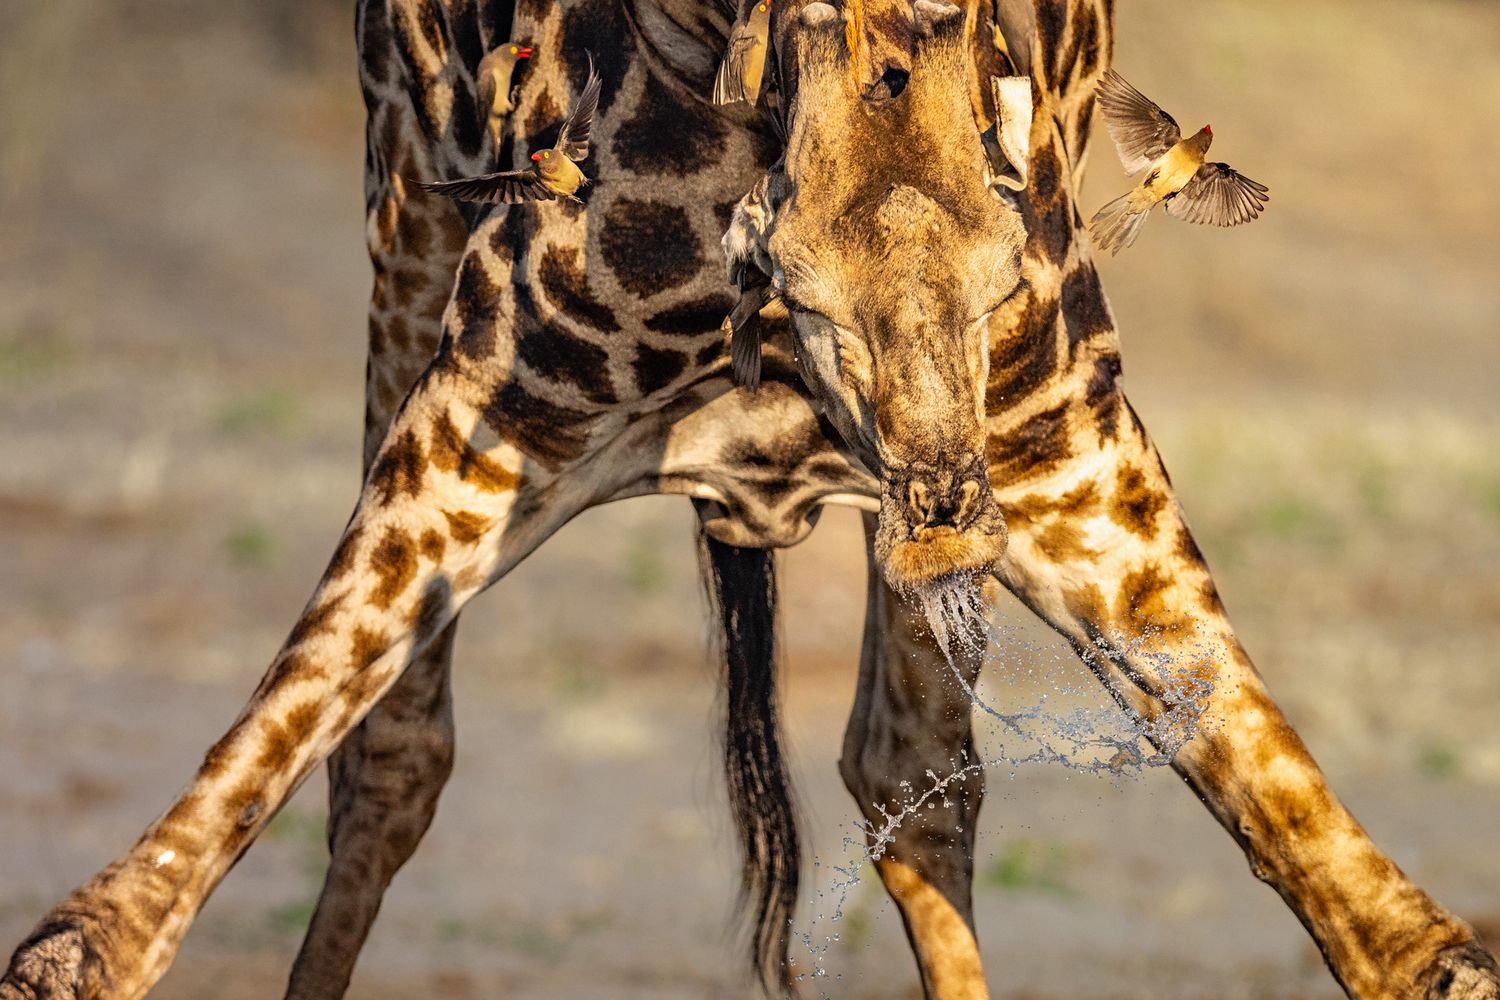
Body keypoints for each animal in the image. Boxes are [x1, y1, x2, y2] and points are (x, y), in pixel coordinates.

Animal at [3, 1, 1498, 999]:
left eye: (1004, 280)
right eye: (791, 281)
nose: (949, 513)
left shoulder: (1068, 450)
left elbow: (1399, 932)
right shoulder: (487, 410)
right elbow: (117, 915)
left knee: (916, 776)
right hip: (404, 231)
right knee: (390, 756)